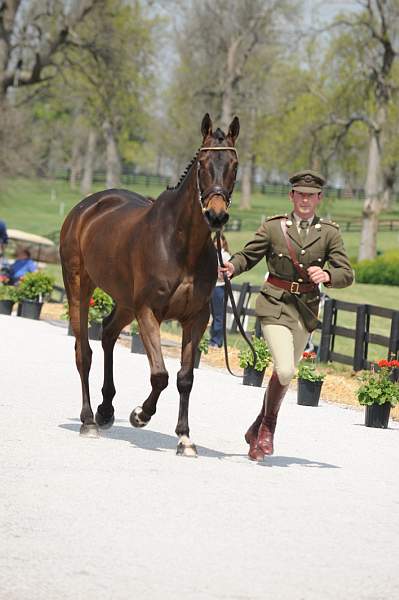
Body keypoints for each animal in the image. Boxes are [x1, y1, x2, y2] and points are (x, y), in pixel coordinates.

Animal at [59, 115, 241, 458]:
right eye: (203, 164)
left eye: (234, 165)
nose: (216, 215)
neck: (180, 244)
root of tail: (86, 207)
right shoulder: (148, 312)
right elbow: (160, 375)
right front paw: (140, 415)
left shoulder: (196, 318)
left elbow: (185, 378)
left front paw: (184, 438)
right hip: (79, 287)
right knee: (83, 352)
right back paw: (88, 421)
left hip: (125, 303)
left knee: (108, 333)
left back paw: (105, 410)